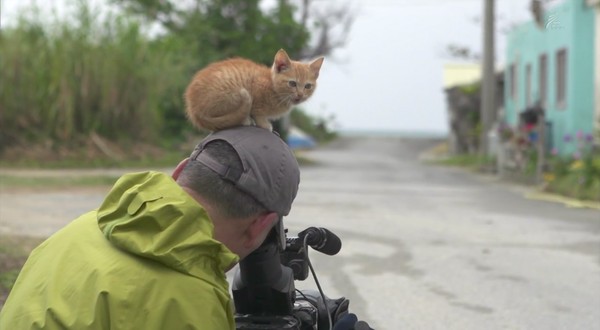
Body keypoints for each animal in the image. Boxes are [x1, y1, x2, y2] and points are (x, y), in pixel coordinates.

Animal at [184, 49, 322, 131]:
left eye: (308, 86)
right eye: (292, 83)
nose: (300, 94)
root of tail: (194, 110)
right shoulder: (256, 88)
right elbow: (258, 111)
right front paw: (264, 124)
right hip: (232, 93)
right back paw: (245, 119)